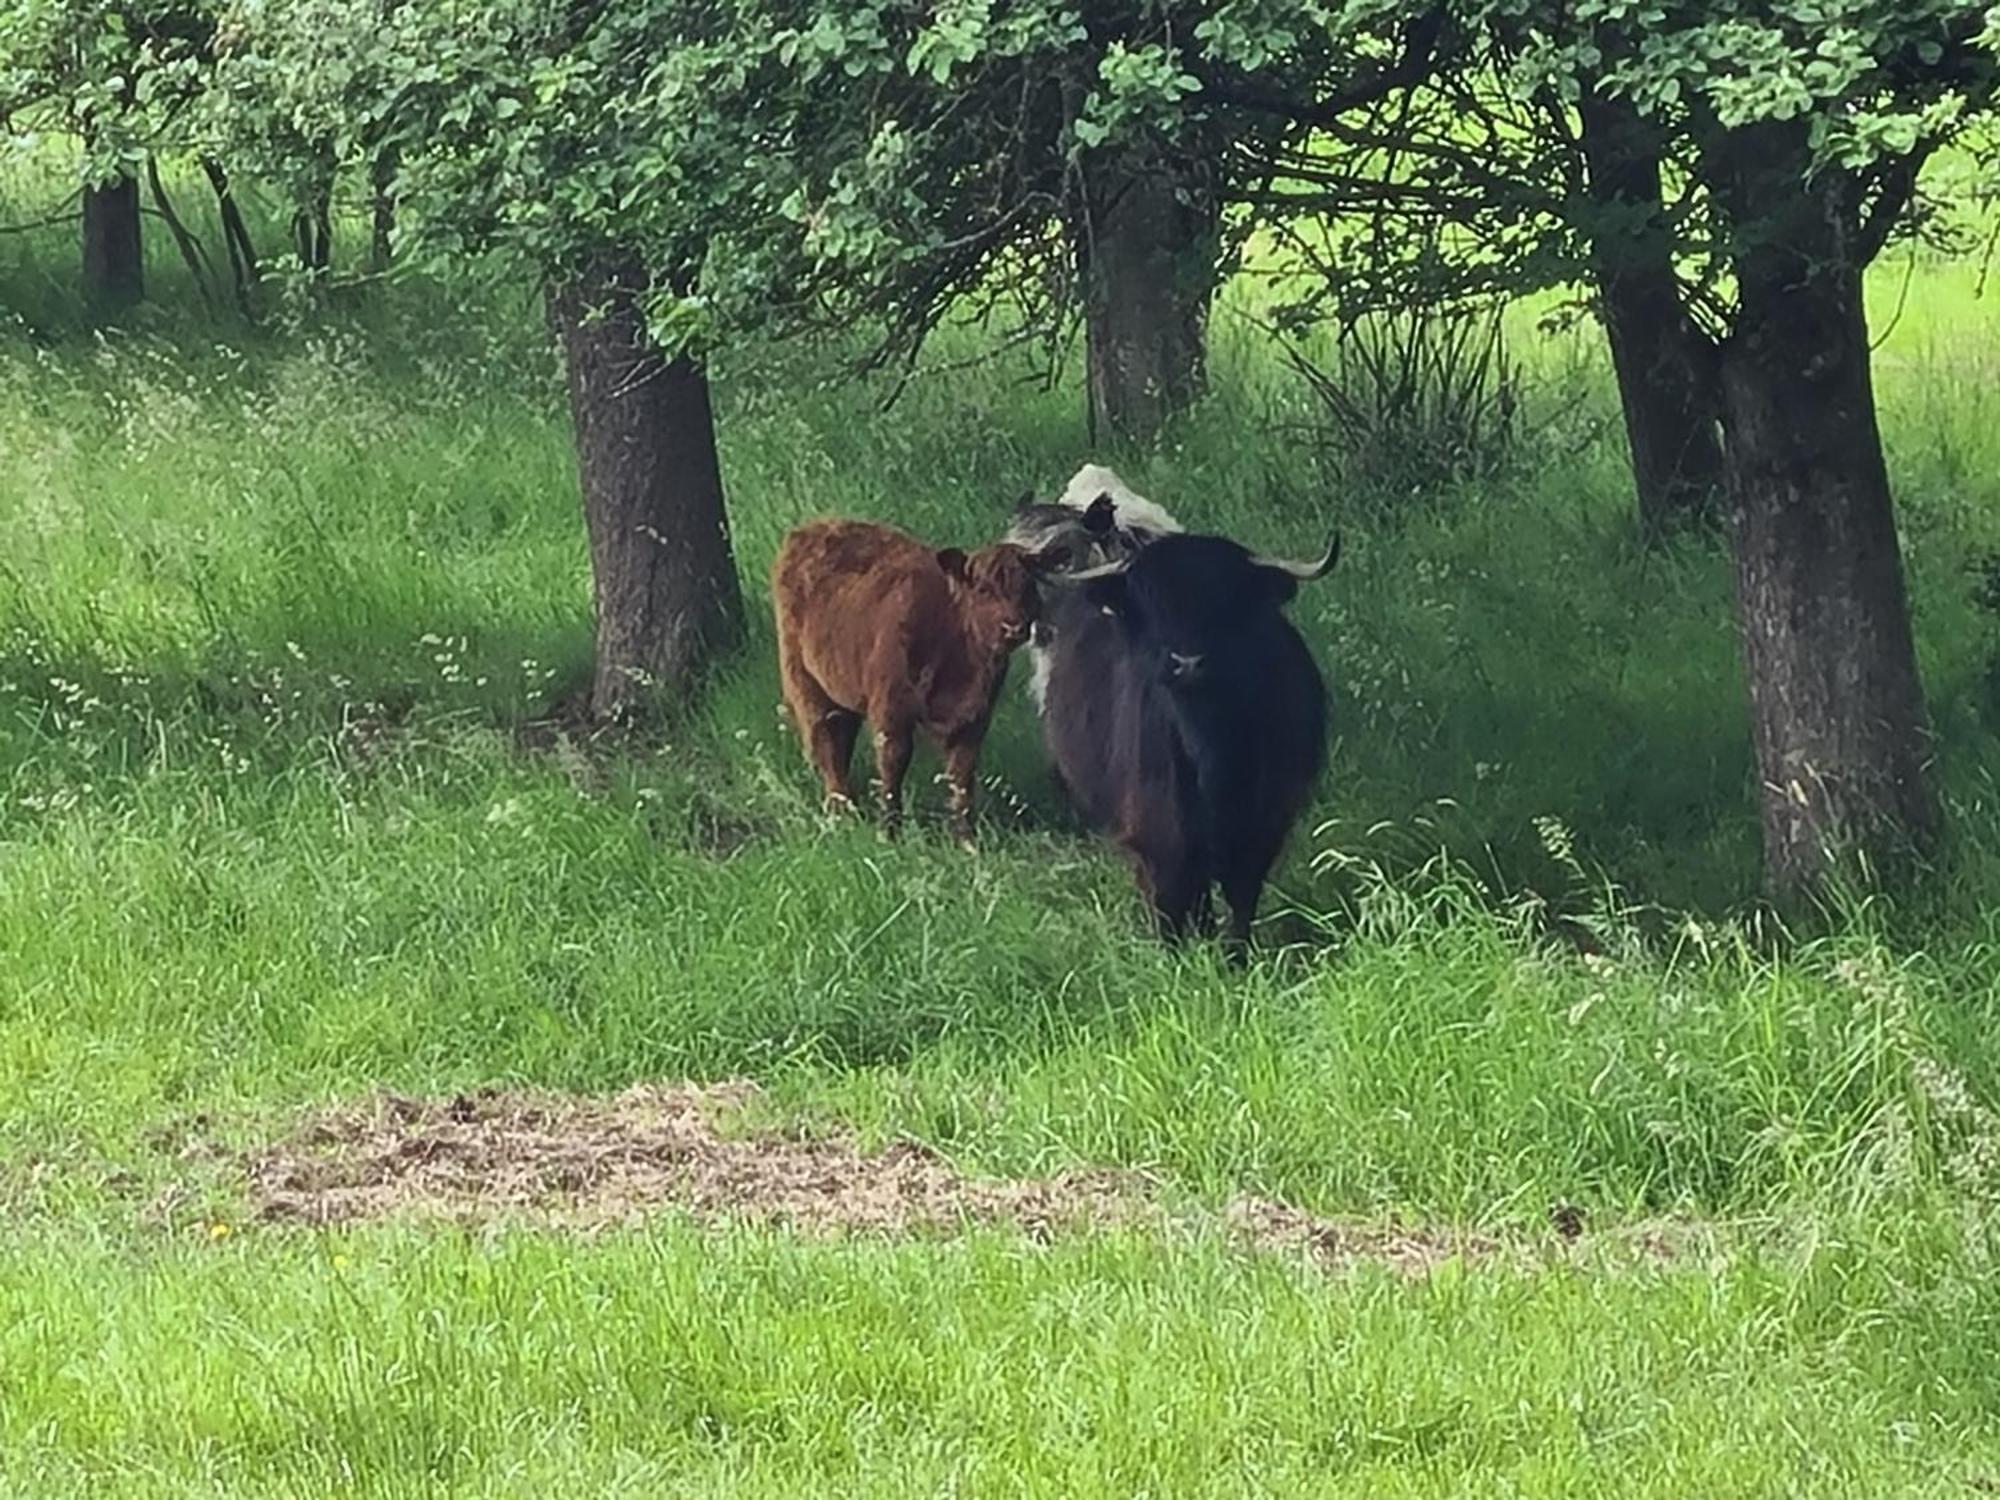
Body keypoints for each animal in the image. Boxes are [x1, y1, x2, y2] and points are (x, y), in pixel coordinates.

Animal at [764, 520, 1048, 848]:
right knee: (826, 741)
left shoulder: (973, 719)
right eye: (983, 588)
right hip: (805, 682)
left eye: (1028, 587)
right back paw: (840, 811)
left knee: (841, 738)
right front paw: (890, 832)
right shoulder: (891, 713)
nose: (1014, 626)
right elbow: (893, 766)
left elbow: (961, 777)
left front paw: (966, 839)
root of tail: (807, 531)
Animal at [1032, 536, 1344, 944]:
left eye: (1227, 600)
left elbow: (1240, 905)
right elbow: (1170, 906)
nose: (1188, 662)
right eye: (1148, 601)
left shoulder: (1260, 832)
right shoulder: (1156, 838)